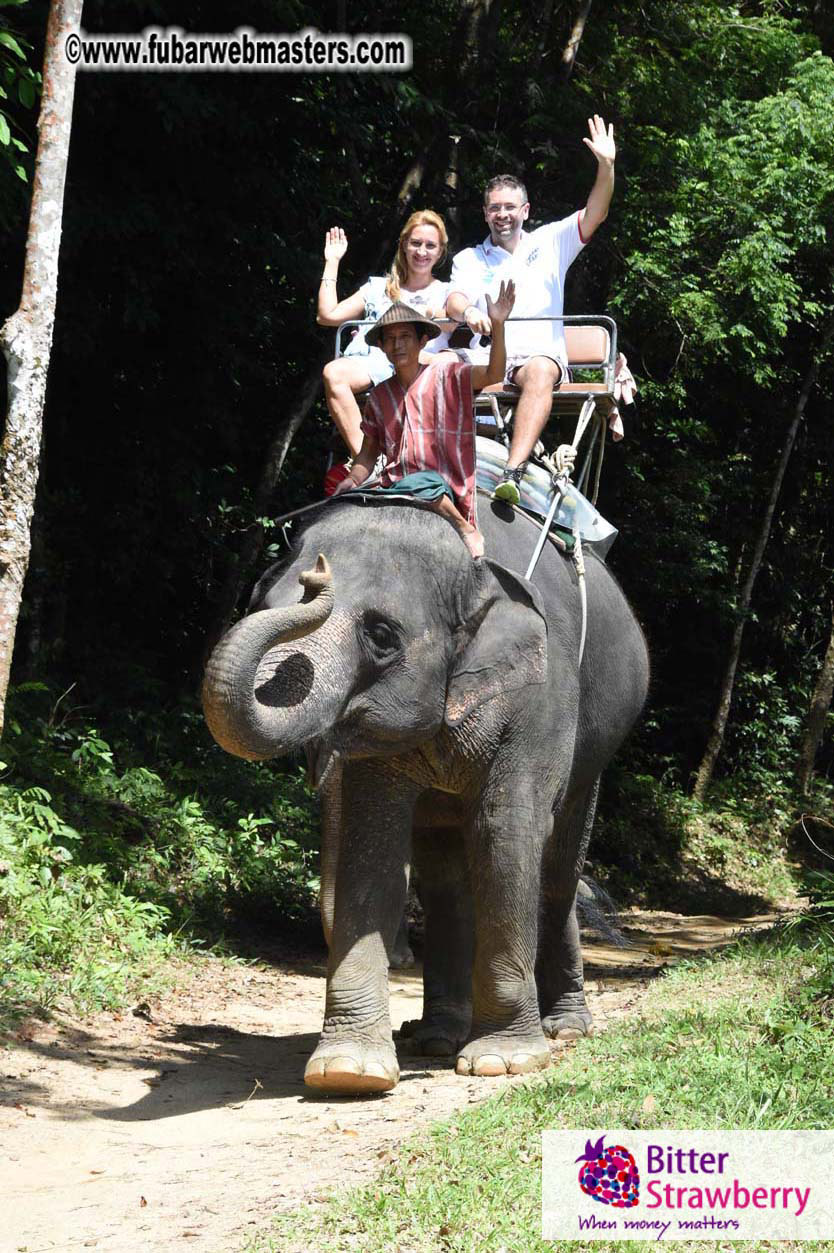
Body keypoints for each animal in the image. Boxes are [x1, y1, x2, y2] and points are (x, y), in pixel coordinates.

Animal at [202, 493, 649, 1094]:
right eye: (260, 602)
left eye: (382, 636)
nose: (317, 575)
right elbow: (374, 847)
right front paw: (349, 1071)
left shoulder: (541, 697)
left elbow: (504, 832)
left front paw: (501, 1060)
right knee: (445, 877)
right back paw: (436, 1037)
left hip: (597, 747)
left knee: (556, 872)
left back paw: (566, 1027)